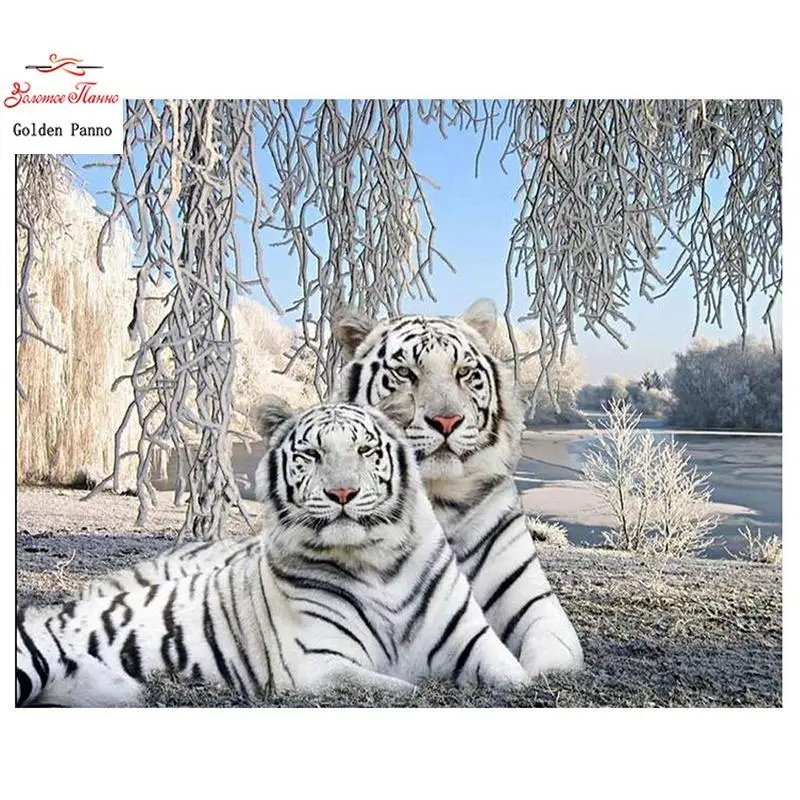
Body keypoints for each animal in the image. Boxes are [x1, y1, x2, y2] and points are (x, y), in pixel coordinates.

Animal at [16, 397, 529, 707]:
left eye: (365, 451)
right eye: (311, 455)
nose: (342, 493)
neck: (376, 563)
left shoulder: (474, 642)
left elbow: (517, 675)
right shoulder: (317, 665)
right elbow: (402, 689)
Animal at [331, 298, 584, 676]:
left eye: (463, 373)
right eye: (405, 373)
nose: (447, 421)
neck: (438, 495)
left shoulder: (530, 596)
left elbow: (552, 653)